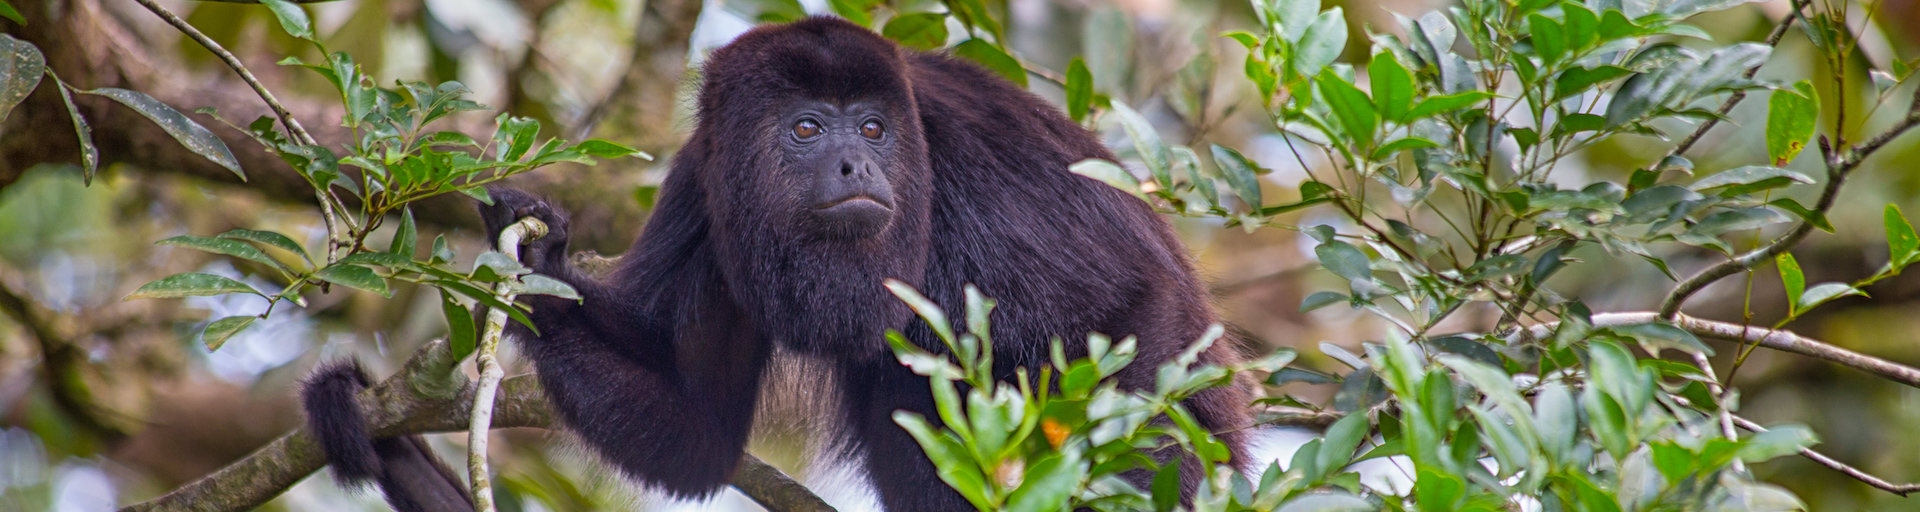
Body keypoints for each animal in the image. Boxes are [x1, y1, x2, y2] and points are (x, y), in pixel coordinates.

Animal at [307, 16, 1251, 512]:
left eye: (872, 126)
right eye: (805, 127)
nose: (856, 163)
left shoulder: (971, 165)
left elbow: (1129, 307)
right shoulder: (703, 180)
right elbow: (695, 429)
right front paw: (537, 253)